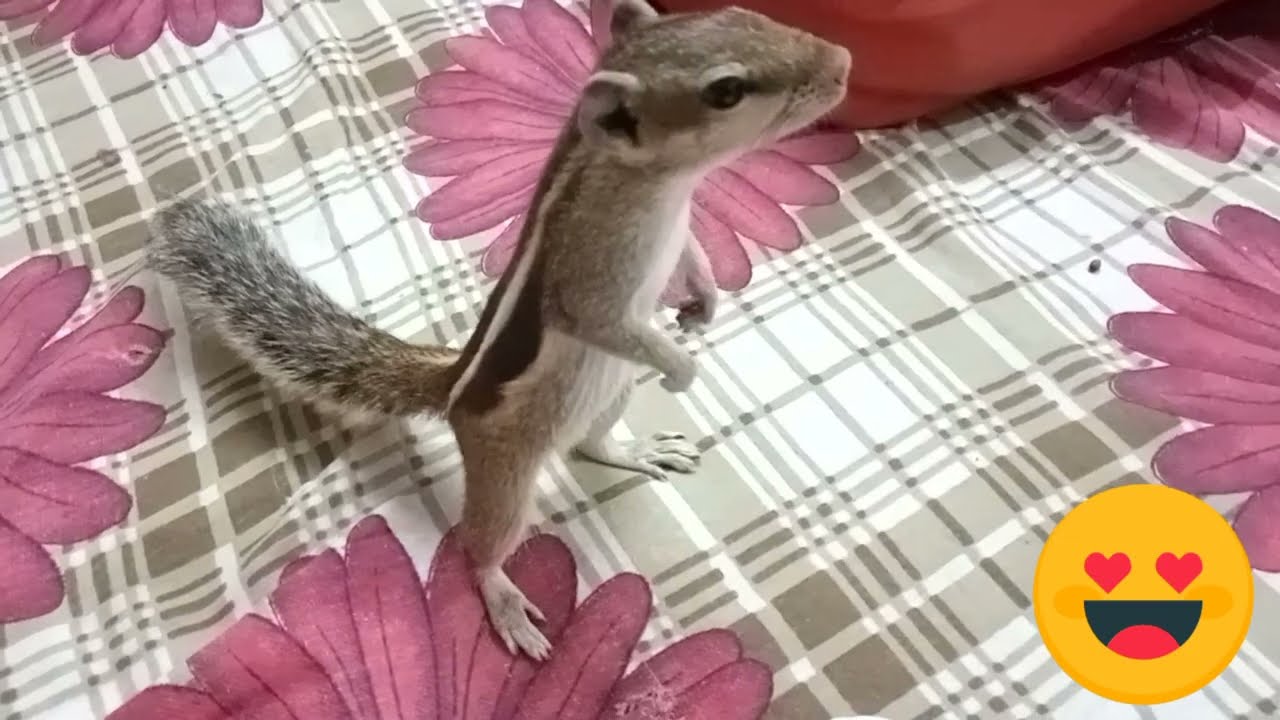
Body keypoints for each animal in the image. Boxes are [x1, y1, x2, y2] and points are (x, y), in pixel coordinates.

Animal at [147, 0, 850, 659]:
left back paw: (634, 450)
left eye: (746, 14)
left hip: (613, 389)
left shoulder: (680, 234)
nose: (842, 61)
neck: (656, 182)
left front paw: (703, 305)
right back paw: (504, 600)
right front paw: (683, 366)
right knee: (479, 543)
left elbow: (695, 259)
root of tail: (453, 388)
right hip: (506, 471)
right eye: (725, 90)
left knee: (592, 443)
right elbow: (600, 319)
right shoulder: (586, 277)